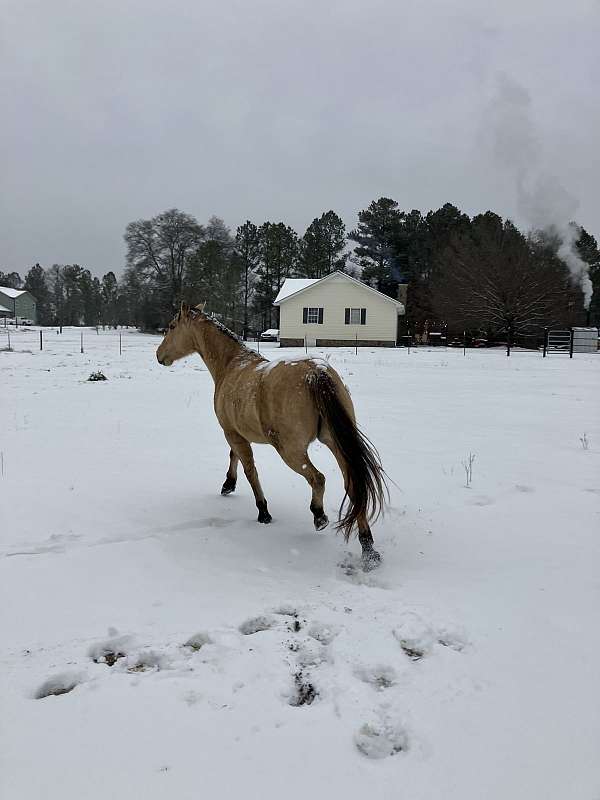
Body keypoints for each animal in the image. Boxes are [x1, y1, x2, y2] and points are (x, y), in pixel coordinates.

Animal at [157, 304, 386, 572]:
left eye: (172, 326)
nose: (159, 355)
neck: (232, 365)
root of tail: (315, 372)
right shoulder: (238, 433)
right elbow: (236, 458)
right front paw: (228, 485)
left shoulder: (232, 433)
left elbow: (250, 470)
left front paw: (263, 512)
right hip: (336, 445)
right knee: (353, 485)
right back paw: (368, 549)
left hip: (291, 451)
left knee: (318, 479)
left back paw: (319, 516)